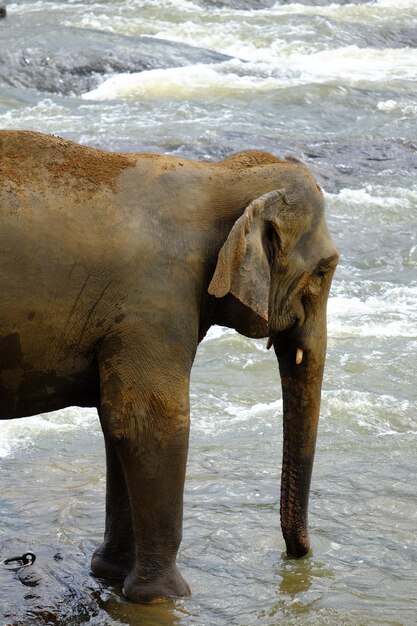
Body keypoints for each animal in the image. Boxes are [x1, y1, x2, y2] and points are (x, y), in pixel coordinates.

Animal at [0, 129, 338, 604]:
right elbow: (150, 422)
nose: (297, 559)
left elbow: (117, 424)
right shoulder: (156, 302)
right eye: (324, 271)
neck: (218, 175)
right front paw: (166, 597)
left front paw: (111, 574)